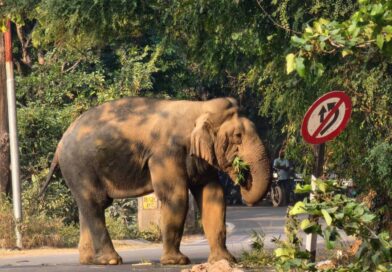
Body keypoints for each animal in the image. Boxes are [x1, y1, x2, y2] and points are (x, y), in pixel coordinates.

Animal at [42, 97, 270, 266]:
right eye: (238, 135)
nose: (243, 175)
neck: (199, 107)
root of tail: (61, 142)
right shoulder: (165, 153)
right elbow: (175, 196)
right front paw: (176, 262)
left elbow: (213, 195)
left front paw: (225, 260)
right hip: (79, 166)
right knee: (95, 203)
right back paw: (111, 260)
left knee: (87, 205)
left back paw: (90, 260)